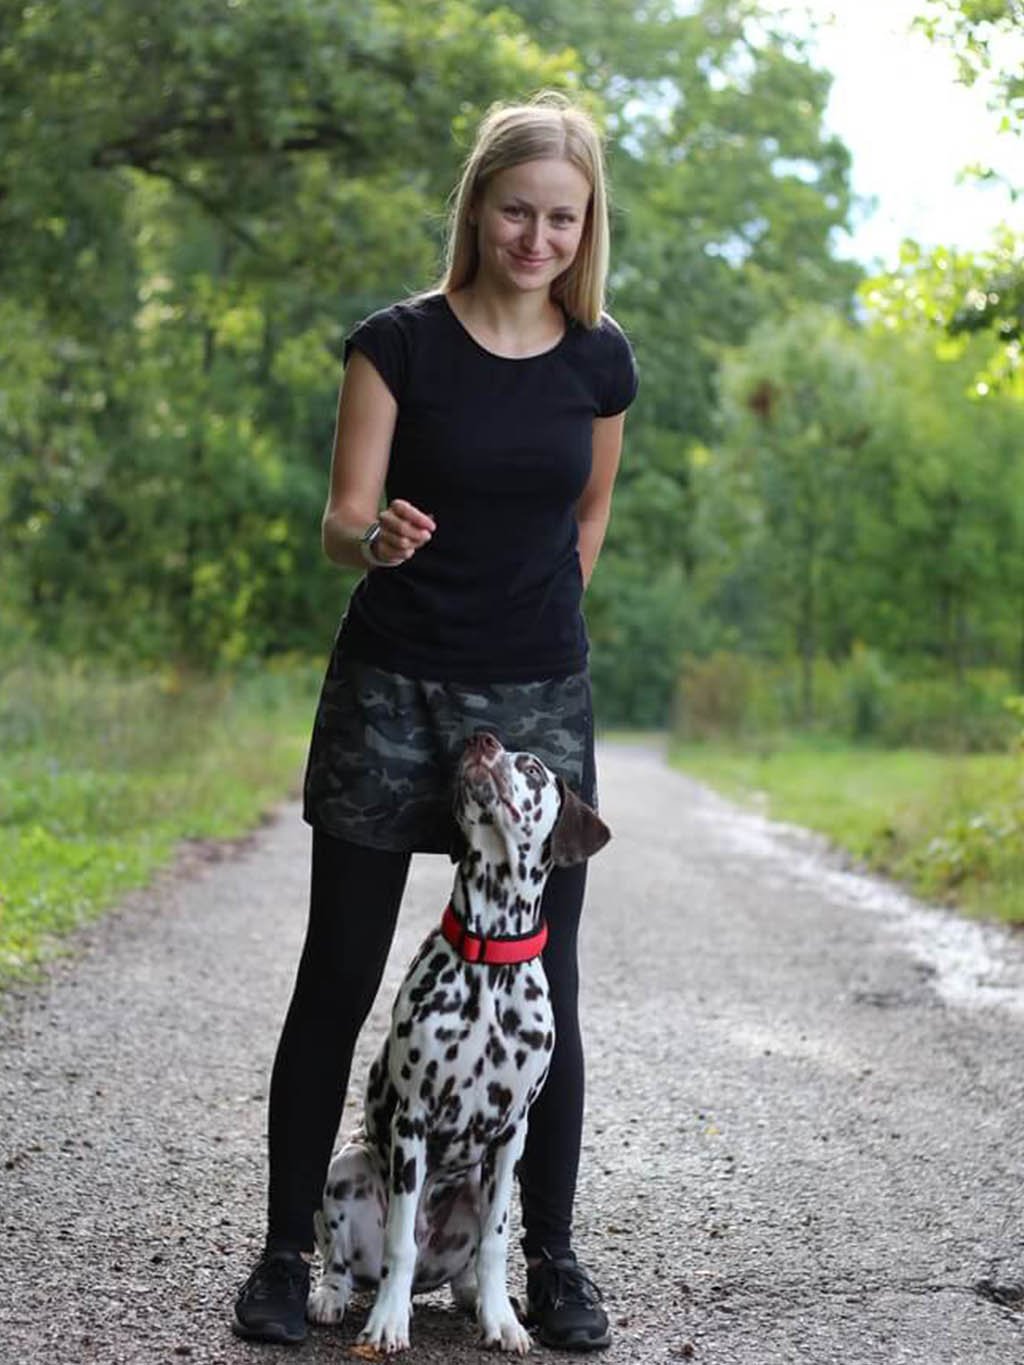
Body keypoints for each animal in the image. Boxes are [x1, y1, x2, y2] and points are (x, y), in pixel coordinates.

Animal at [304, 731, 608, 1348]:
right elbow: (399, 1240)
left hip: (479, 1185)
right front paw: (387, 1323)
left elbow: (496, 1242)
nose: (481, 738)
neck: (489, 955)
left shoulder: (513, 1132)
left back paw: (482, 1302)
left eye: (532, 767)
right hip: (348, 1166)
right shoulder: (413, 1121)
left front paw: (502, 1322)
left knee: (469, 1267)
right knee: (346, 1261)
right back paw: (334, 1297)